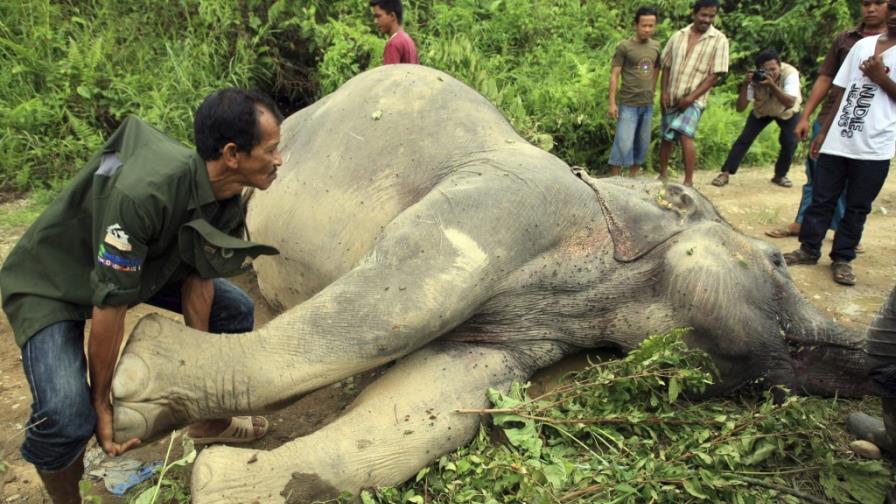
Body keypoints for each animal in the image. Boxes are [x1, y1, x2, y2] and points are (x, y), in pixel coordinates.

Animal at [109, 64, 890, 503]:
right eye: (779, 264)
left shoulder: (527, 329)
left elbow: (440, 399)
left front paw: (218, 481)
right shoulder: (510, 194)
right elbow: (403, 304)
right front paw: (135, 380)